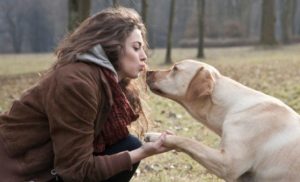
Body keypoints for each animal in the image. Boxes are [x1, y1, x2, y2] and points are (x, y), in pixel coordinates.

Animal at [145, 59, 300, 181]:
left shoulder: (228, 164)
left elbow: (188, 141)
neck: (230, 107)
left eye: (175, 69)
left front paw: (156, 136)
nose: (147, 71)